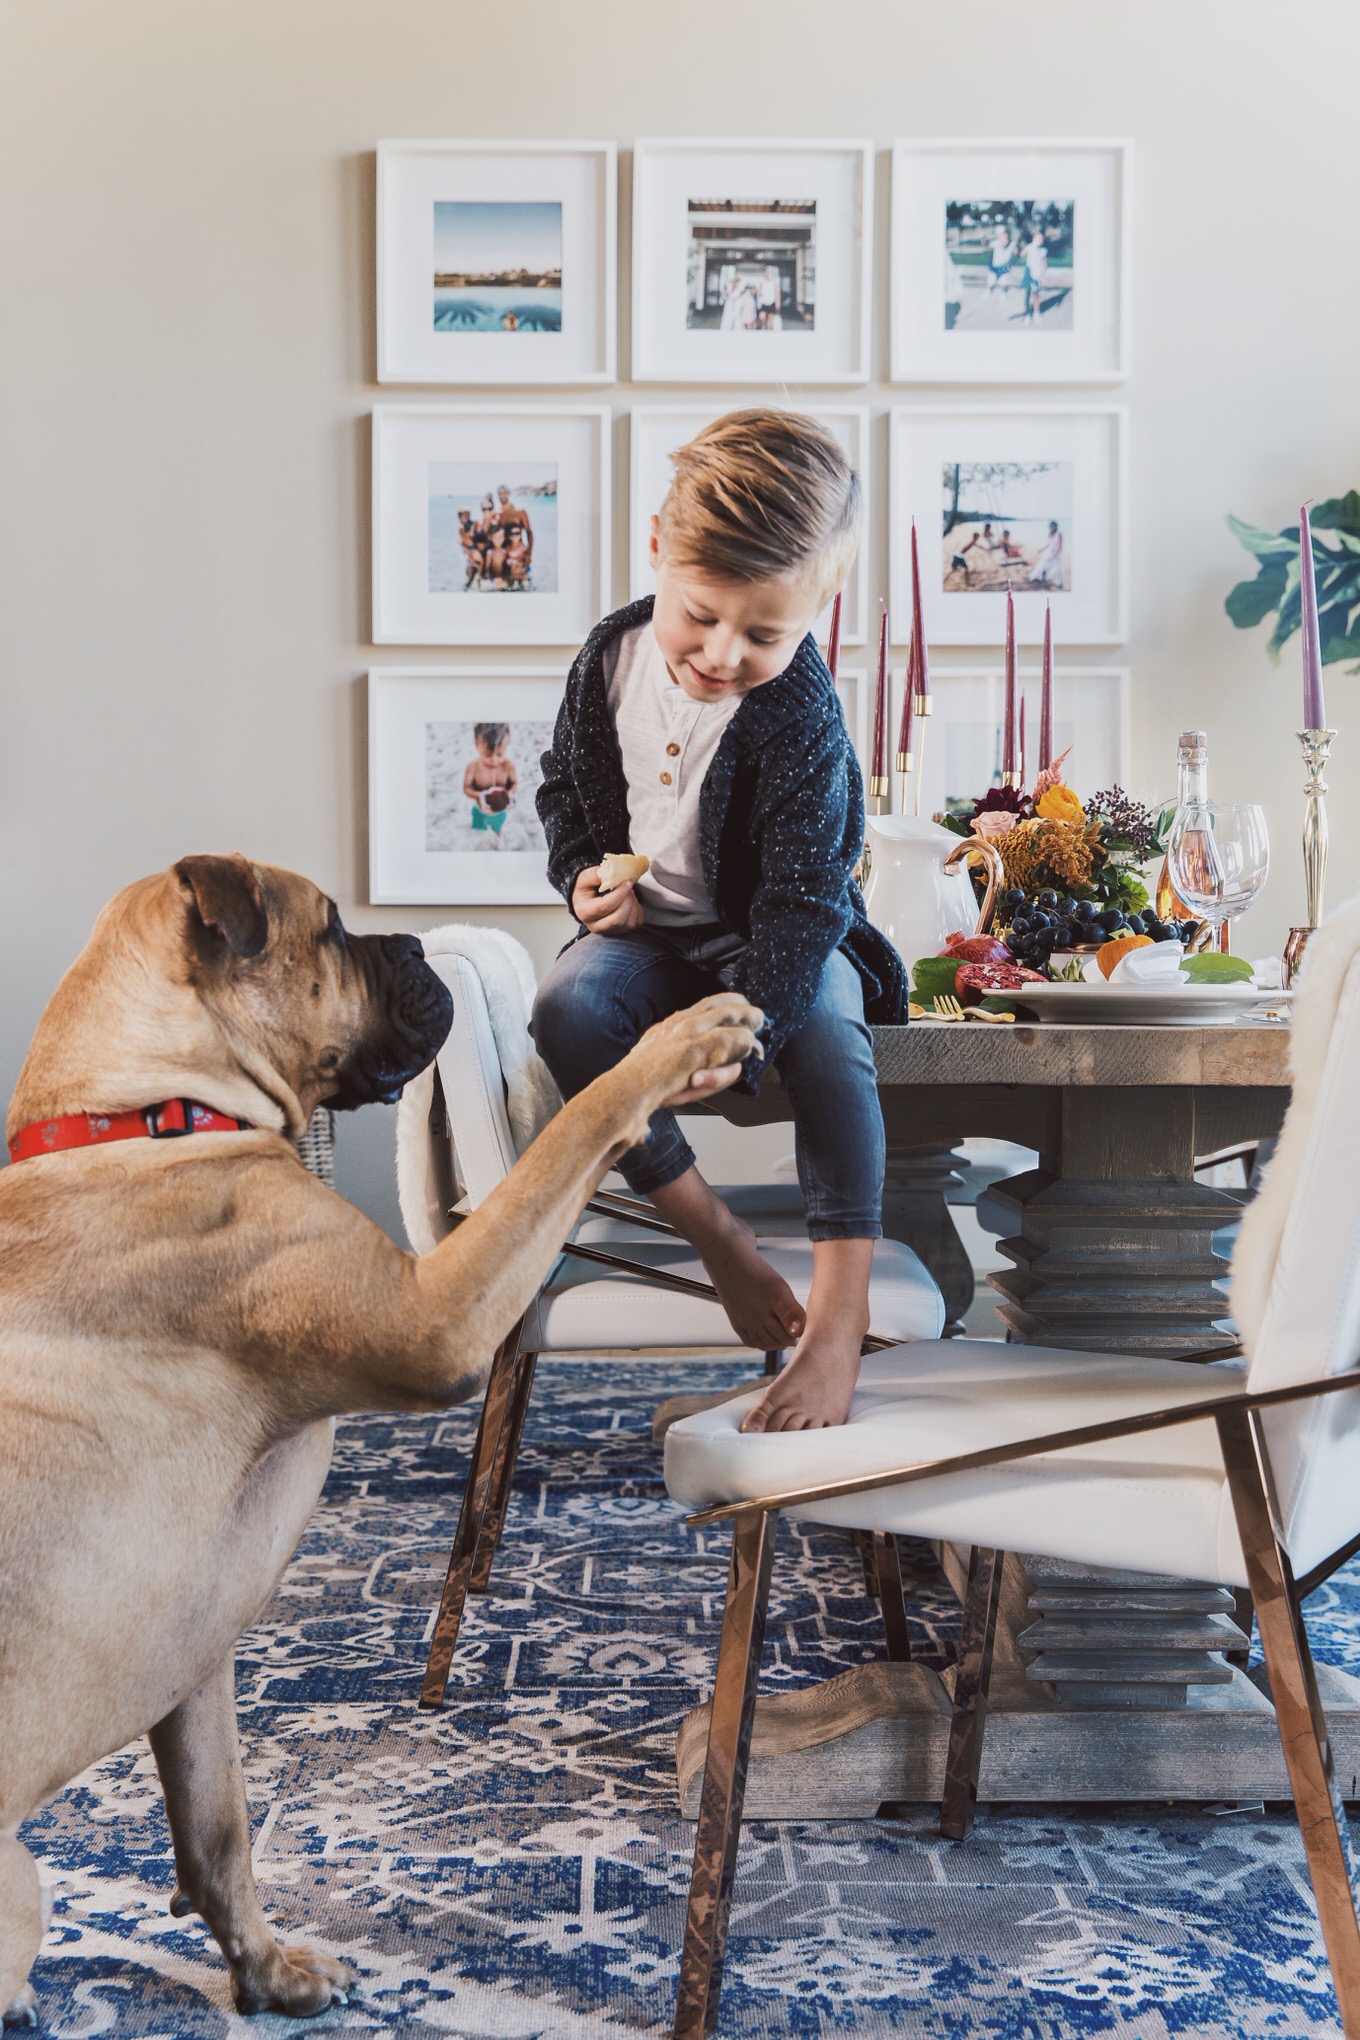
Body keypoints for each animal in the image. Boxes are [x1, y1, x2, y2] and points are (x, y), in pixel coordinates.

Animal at [0, 848, 766, 2023]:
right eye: (329, 926)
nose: (408, 943)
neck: (138, 1113)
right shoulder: (434, 1314)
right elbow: (573, 1127)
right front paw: (682, 1040)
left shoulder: (195, 1655)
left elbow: (218, 1827)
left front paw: (267, 1970)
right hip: (19, 1887)